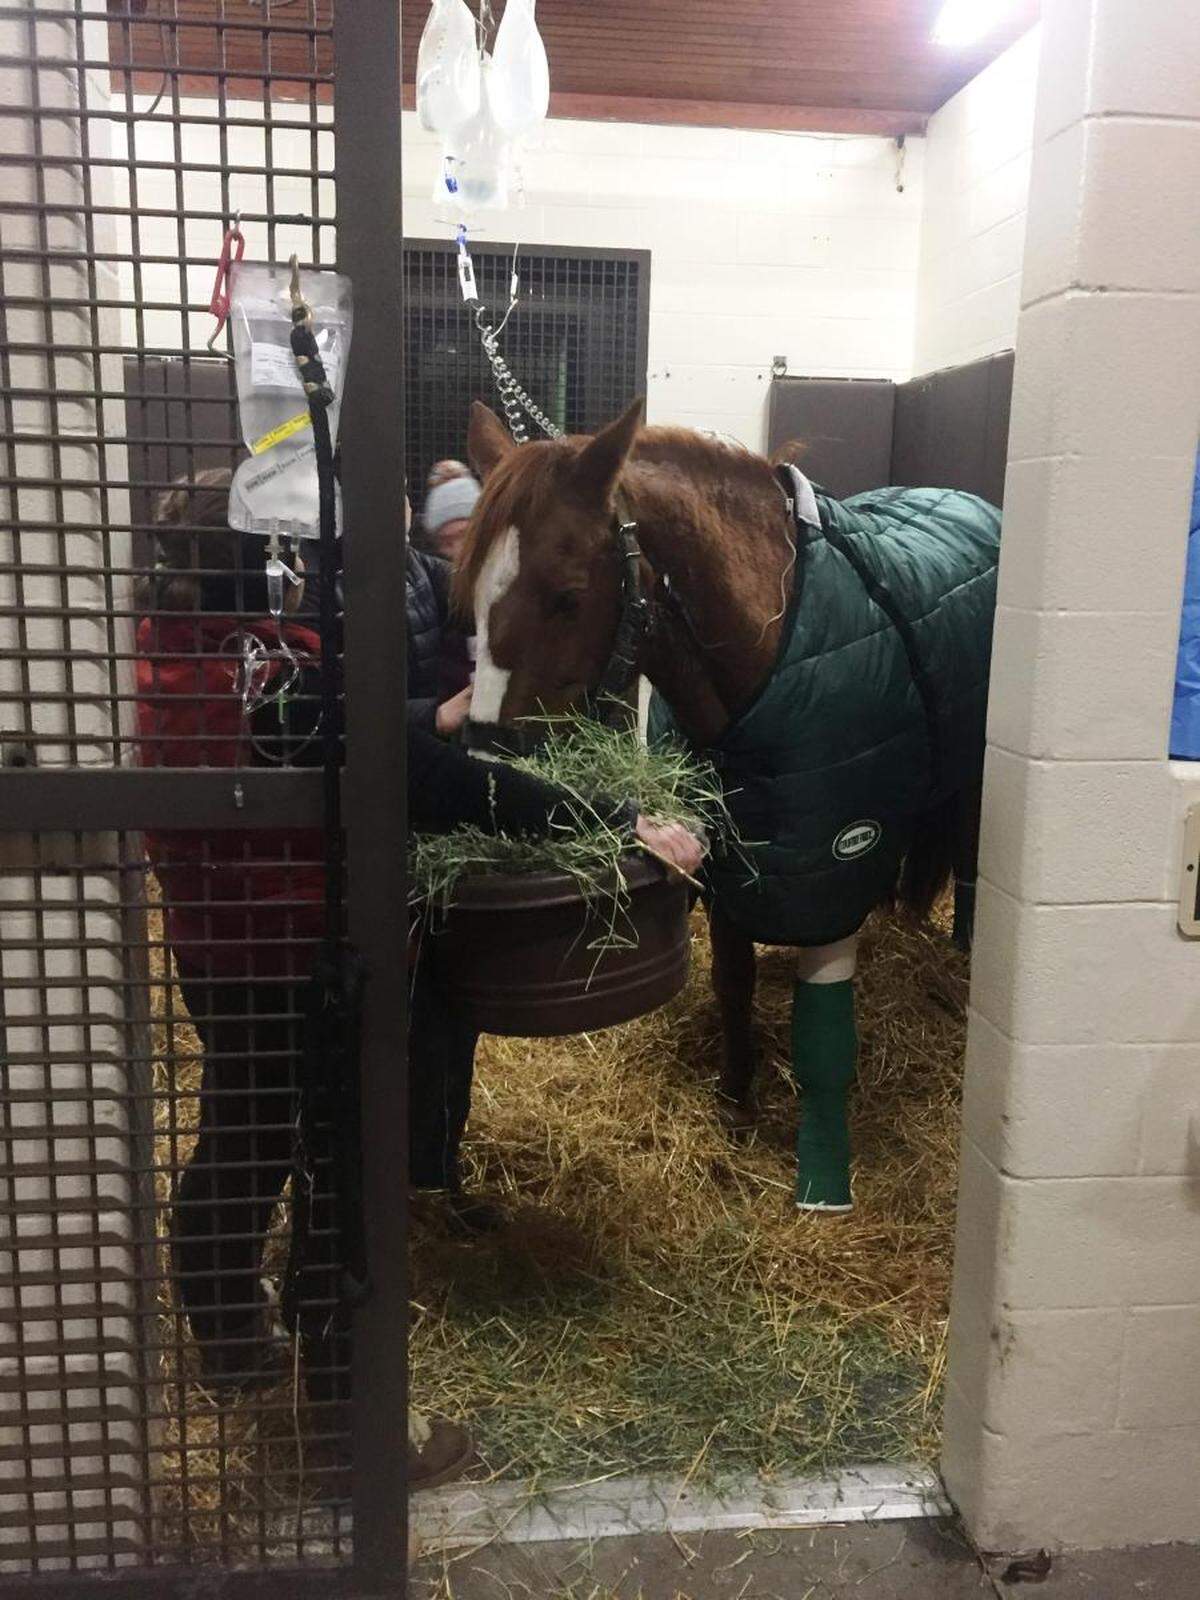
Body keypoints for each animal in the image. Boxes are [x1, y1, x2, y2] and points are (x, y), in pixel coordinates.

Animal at [457, 398, 1000, 1213]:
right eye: (472, 598)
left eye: (568, 596)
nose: (492, 767)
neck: (772, 646)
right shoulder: (737, 859)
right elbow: (732, 981)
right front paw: (737, 1102)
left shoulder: (828, 866)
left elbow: (824, 1036)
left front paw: (822, 1179)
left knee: (969, 860)